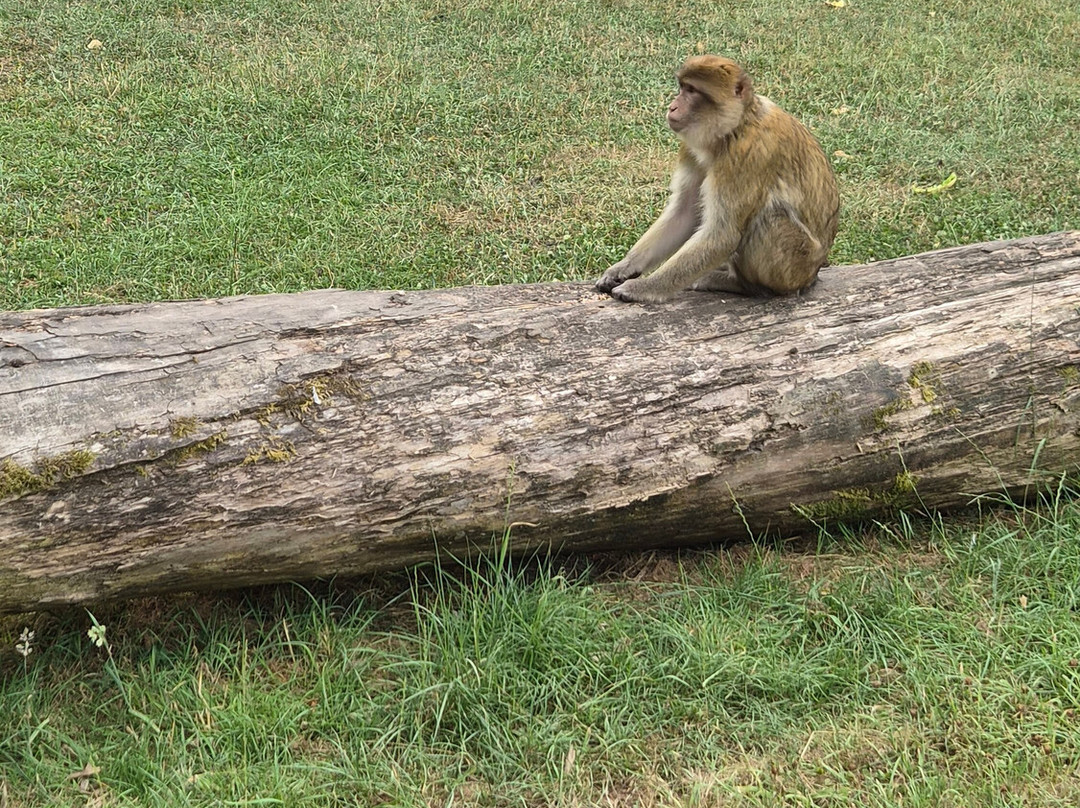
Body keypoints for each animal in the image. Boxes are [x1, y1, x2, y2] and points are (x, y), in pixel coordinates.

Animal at [595, 55, 839, 303]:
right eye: (682, 87)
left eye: (692, 91)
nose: (672, 106)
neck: (736, 126)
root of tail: (813, 274)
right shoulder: (690, 150)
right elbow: (685, 213)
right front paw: (624, 266)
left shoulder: (745, 156)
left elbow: (723, 235)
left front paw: (643, 287)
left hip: (796, 266)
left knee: (771, 216)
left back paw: (746, 286)